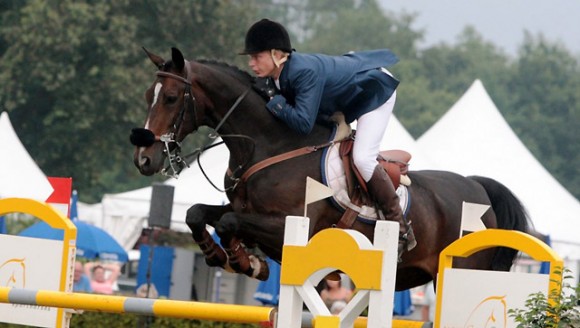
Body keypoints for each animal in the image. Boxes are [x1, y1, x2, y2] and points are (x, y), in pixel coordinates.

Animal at [131, 48, 532, 290]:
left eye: (171, 98)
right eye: (148, 96)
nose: (144, 159)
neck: (267, 144)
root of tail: (479, 189)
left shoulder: (290, 225)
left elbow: (228, 222)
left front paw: (246, 261)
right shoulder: (243, 209)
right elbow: (199, 213)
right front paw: (226, 257)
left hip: (464, 271)